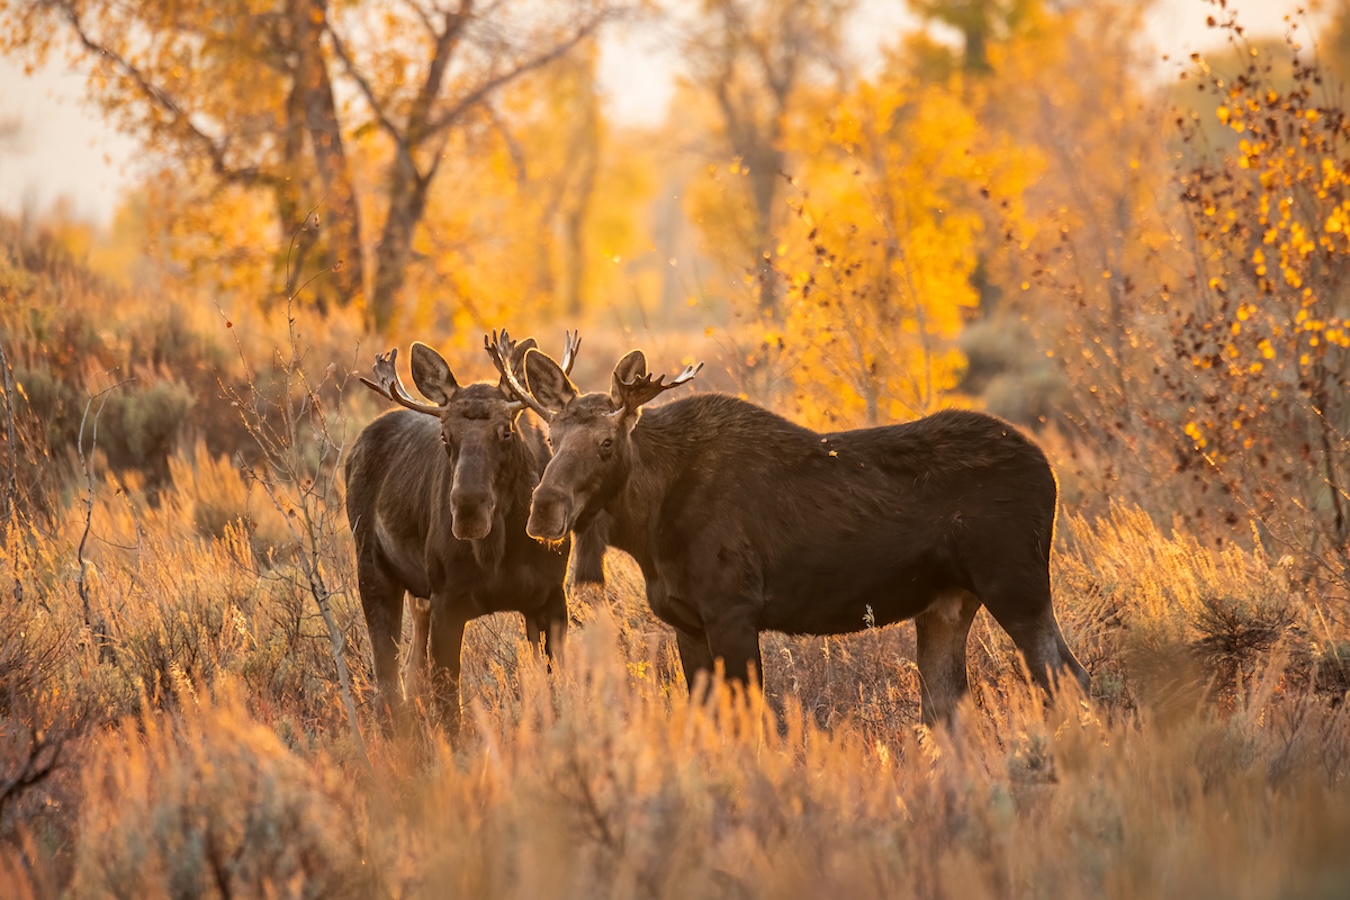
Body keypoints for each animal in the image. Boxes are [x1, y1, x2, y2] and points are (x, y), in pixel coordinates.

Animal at [345, 332, 604, 727]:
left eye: (506, 432)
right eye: (445, 436)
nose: (468, 510)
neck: (501, 550)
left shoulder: (550, 597)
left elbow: (554, 692)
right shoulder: (447, 602)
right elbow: (450, 709)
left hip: (417, 595)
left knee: (410, 667)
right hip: (372, 571)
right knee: (389, 678)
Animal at [488, 341, 1090, 726]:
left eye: (607, 444)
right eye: (550, 435)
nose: (543, 510)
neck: (647, 527)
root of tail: (1049, 470)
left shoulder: (733, 611)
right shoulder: (687, 623)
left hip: (1015, 585)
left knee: (1072, 679)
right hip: (947, 603)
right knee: (947, 709)